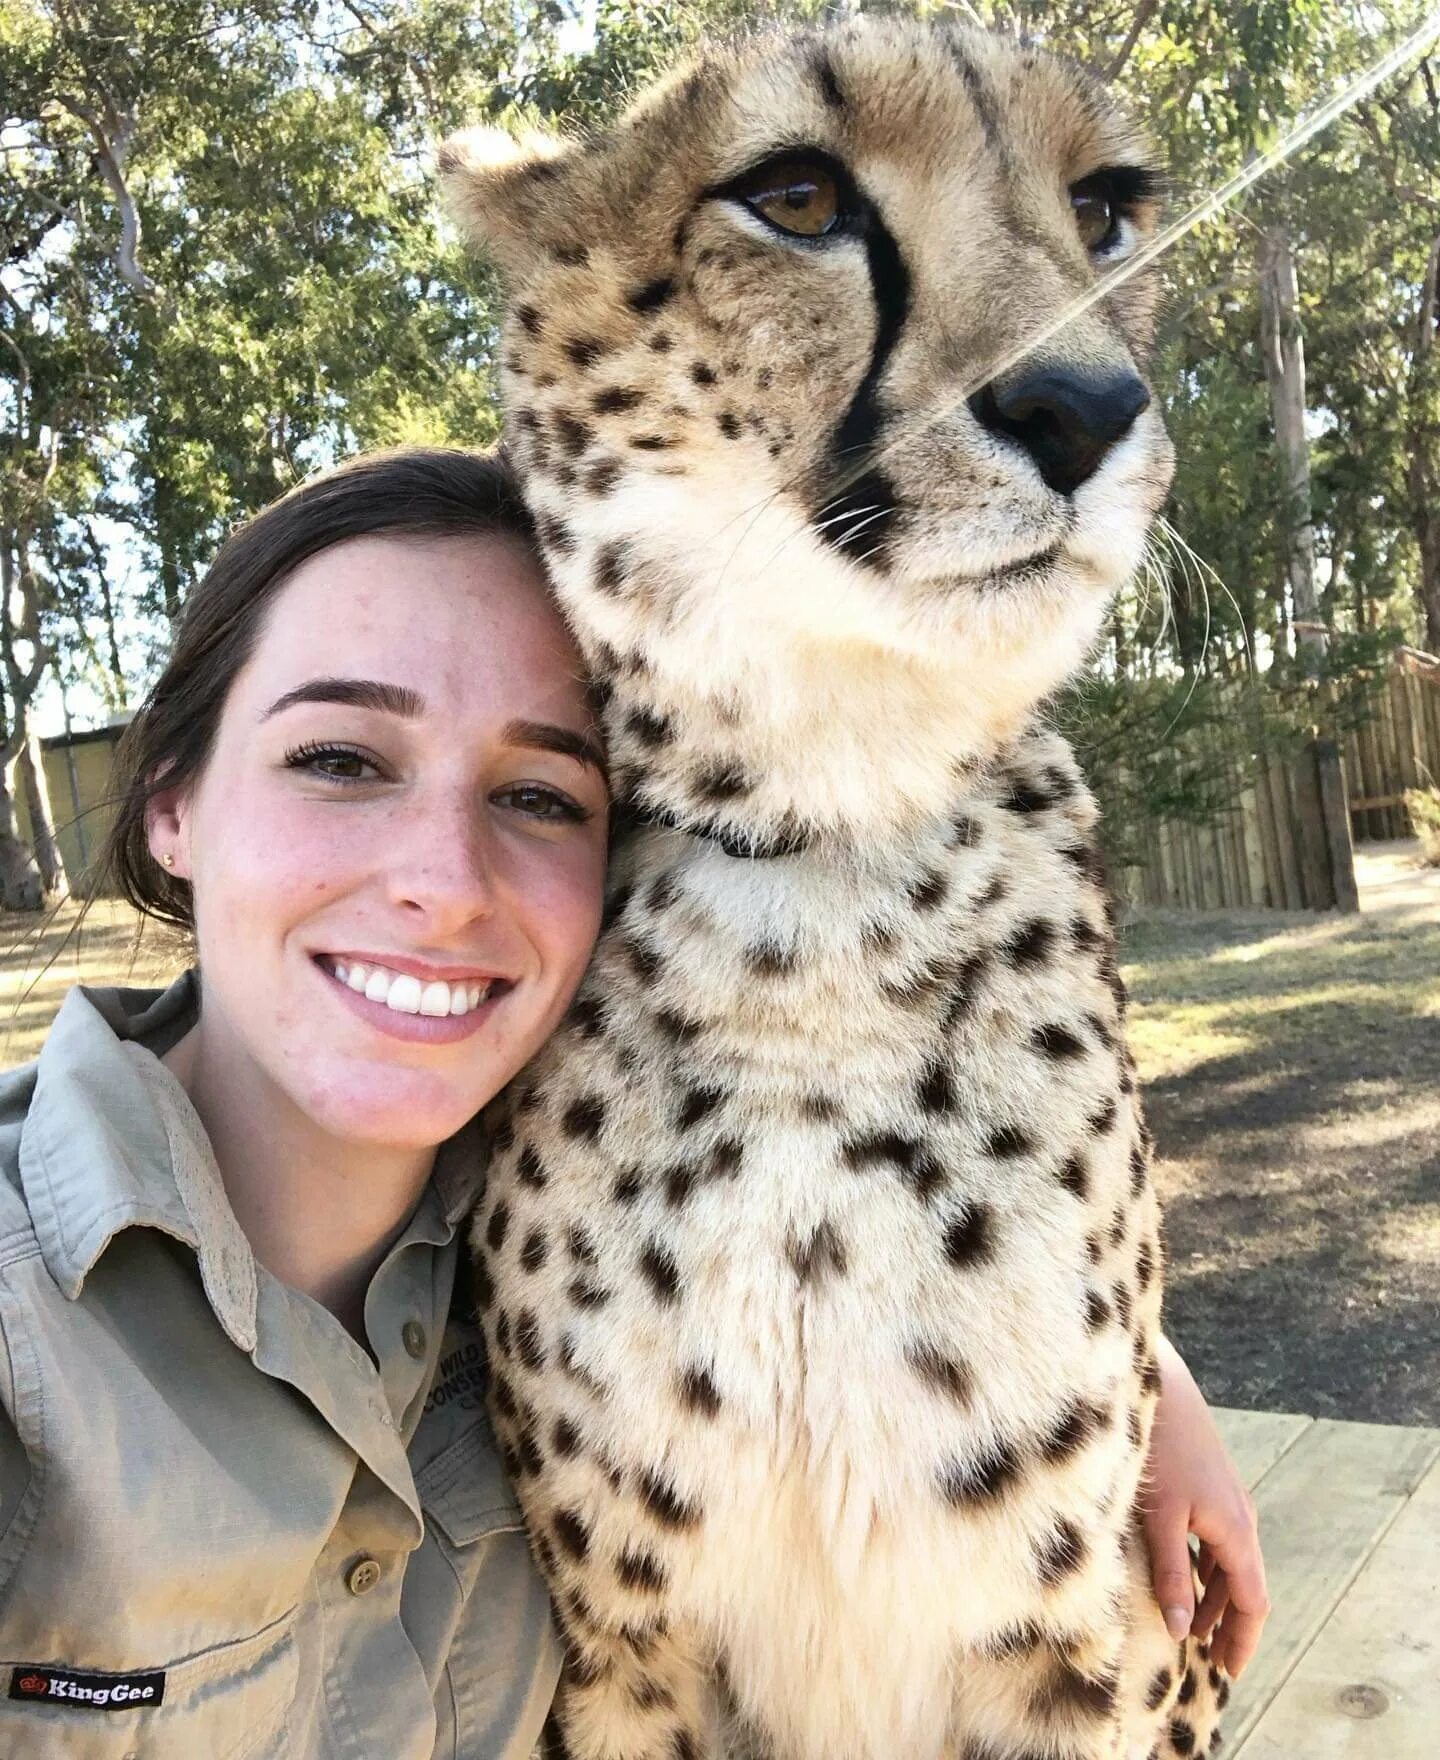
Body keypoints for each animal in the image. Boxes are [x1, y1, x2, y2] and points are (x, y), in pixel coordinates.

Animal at [445, 17, 1225, 1760]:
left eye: (1107, 208)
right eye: (797, 195)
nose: (1083, 406)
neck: (827, 875)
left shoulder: (1082, 1640)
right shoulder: (619, 1650)